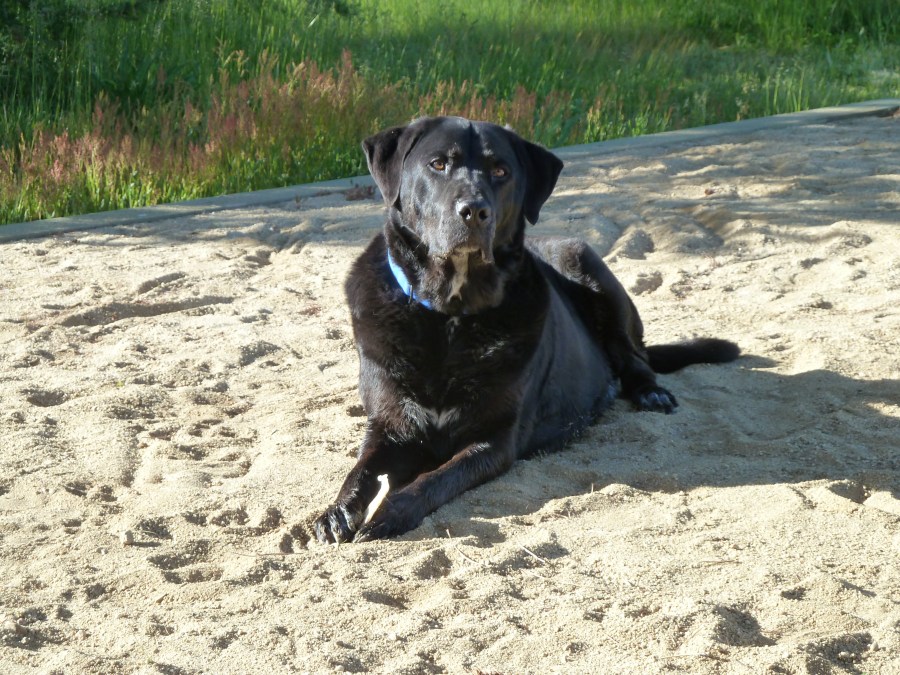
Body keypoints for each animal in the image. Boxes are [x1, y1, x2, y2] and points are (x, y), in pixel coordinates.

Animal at [313, 116, 739, 543]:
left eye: (501, 172)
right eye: (438, 164)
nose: (475, 210)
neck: (450, 316)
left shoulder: (495, 439)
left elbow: (434, 479)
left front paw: (391, 512)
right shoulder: (390, 425)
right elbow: (361, 470)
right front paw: (337, 510)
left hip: (584, 260)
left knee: (634, 357)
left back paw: (649, 391)